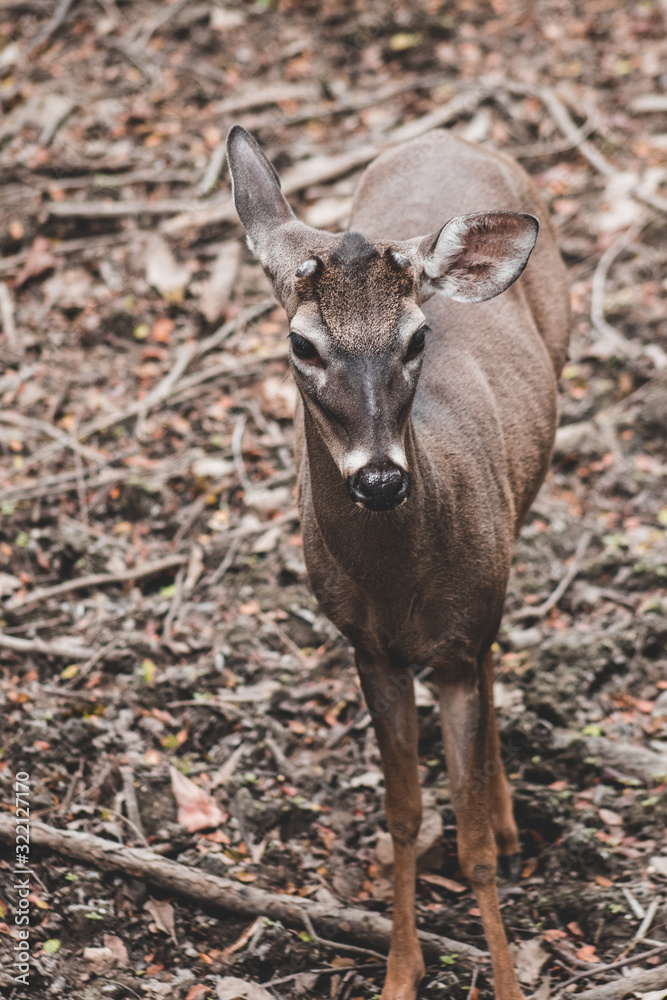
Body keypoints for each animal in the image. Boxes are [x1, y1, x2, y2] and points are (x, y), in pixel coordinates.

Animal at [227, 125, 572, 1000]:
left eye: (417, 337)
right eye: (301, 343)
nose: (380, 479)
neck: (399, 585)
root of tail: (443, 135)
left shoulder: (454, 644)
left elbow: (472, 843)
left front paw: (507, 980)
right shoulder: (366, 648)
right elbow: (406, 817)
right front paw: (398, 974)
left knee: (494, 654)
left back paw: (511, 818)